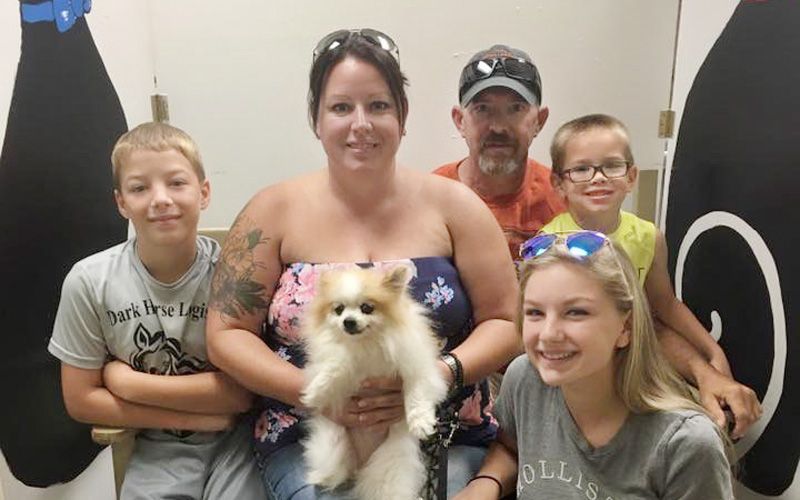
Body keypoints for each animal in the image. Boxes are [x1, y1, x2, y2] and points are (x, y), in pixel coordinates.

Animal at [302, 268, 450, 498]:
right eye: (339, 309)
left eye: (367, 308)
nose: (348, 321)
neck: (367, 343)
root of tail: (361, 464)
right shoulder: (348, 364)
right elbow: (339, 363)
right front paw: (316, 392)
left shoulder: (417, 367)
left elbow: (416, 394)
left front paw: (421, 424)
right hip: (333, 445)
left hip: (391, 465)